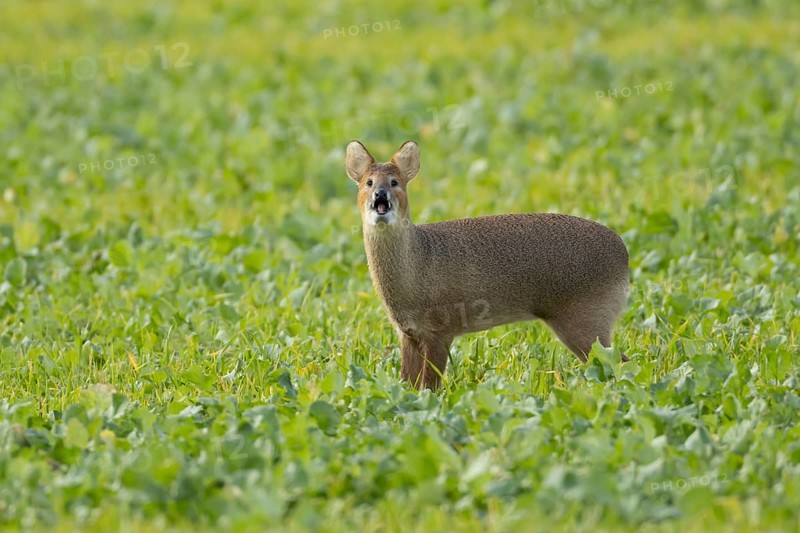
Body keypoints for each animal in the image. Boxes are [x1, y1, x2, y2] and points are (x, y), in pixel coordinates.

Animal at [346, 140, 629, 390]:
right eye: (368, 182)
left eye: (395, 182)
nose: (380, 194)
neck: (417, 267)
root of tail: (624, 253)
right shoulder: (408, 333)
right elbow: (409, 384)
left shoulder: (441, 329)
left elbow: (430, 387)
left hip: (587, 320)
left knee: (621, 364)